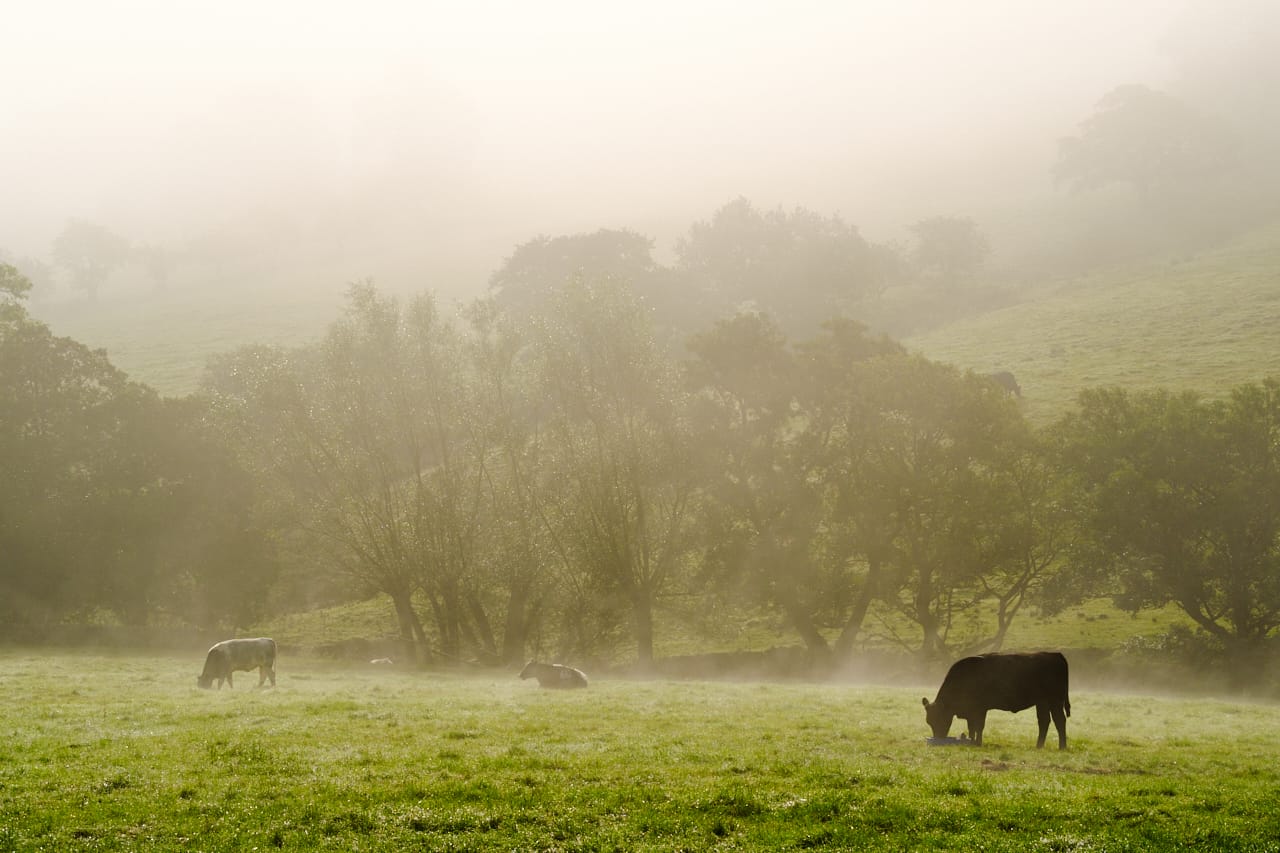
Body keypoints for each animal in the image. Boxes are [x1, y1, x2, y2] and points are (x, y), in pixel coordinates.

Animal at [921, 650, 1070, 742]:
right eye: (929, 721)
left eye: (940, 718)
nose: (939, 737)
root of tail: (1055, 655)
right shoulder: (971, 712)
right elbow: (972, 728)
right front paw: (971, 741)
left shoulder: (980, 709)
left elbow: (979, 726)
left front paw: (978, 743)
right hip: (1042, 703)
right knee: (1044, 721)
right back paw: (1039, 746)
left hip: (1055, 701)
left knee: (1059, 721)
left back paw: (1061, 747)